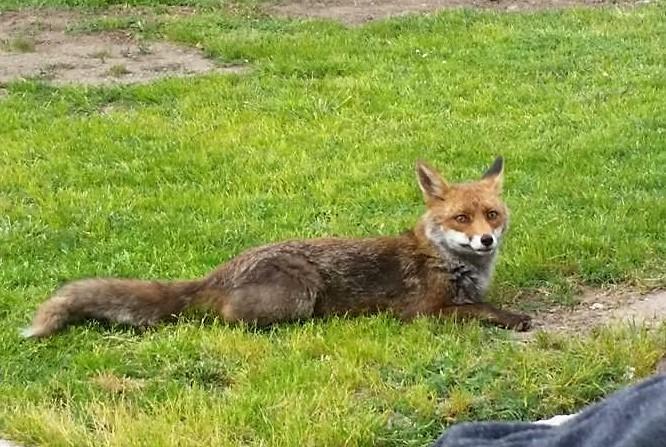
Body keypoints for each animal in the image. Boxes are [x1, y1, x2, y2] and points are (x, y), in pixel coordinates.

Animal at [22, 157, 532, 338]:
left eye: (492, 215)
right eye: (461, 219)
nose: (486, 240)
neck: (450, 261)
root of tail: (219, 272)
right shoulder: (426, 312)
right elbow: (480, 310)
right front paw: (512, 317)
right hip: (299, 296)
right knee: (225, 319)